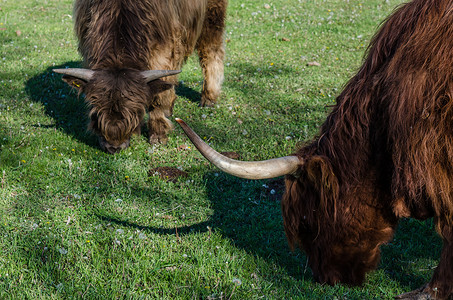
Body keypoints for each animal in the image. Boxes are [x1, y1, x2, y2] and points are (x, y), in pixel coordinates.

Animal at [54, 0, 228, 154]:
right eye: (96, 109)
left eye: (134, 110)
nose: (114, 147)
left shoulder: (163, 51)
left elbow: (157, 96)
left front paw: (158, 135)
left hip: (212, 17)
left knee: (211, 52)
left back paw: (209, 98)